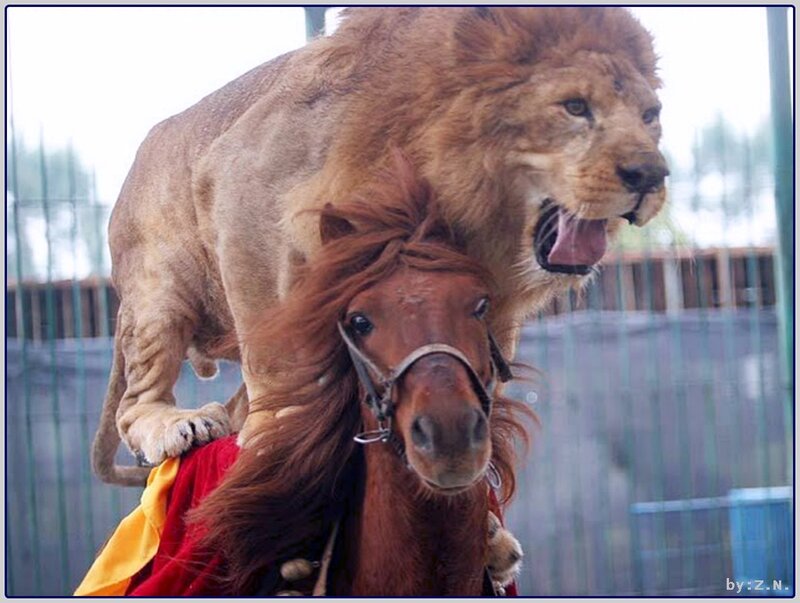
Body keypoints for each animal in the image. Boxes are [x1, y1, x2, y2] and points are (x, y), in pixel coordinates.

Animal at [93, 6, 666, 484]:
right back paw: (181, 423)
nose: (652, 174)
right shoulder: (242, 184)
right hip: (159, 294)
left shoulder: (485, 298)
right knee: (135, 403)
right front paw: (276, 437)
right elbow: (273, 357)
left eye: (650, 115)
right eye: (575, 107)